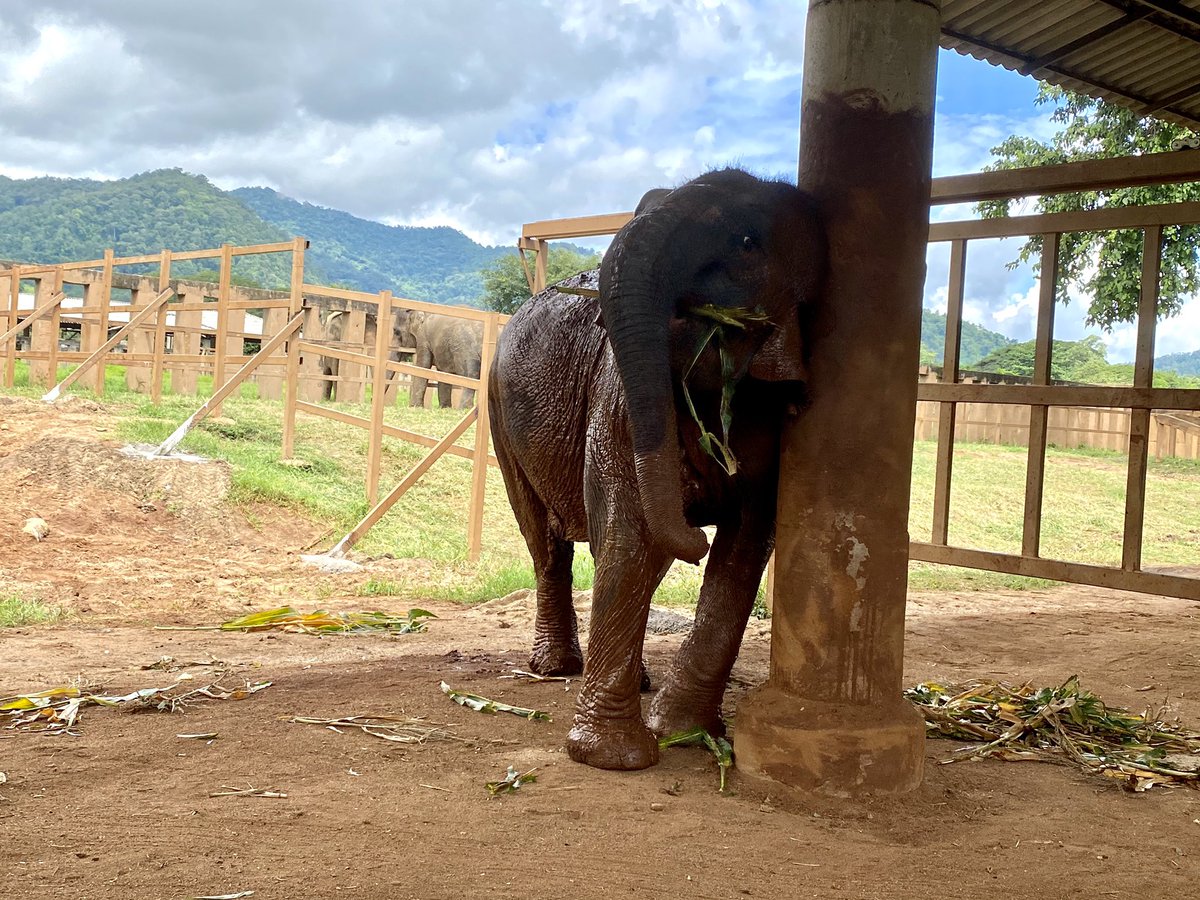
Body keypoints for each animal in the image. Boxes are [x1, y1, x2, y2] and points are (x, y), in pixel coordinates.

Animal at [489, 168, 825, 771]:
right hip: (499, 415)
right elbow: (630, 531)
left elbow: (746, 542)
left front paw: (681, 730)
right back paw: (555, 668)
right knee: (544, 539)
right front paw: (614, 757)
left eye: (746, 243)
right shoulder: (617, 390)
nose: (697, 528)